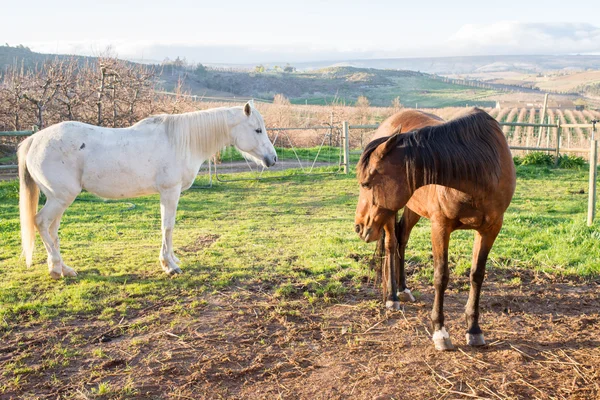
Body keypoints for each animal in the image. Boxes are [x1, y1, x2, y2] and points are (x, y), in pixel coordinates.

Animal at [18, 102, 276, 278]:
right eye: (257, 130)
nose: (272, 159)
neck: (180, 141)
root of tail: (34, 140)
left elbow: (167, 227)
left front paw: (171, 259)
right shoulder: (170, 191)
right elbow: (168, 226)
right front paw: (169, 265)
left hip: (59, 199)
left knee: (52, 229)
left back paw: (64, 268)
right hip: (60, 198)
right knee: (40, 222)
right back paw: (55, 269)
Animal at [356, 108, 516, 350]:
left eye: (366, 184)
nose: (359, 226)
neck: (480, 169)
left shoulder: (491, 228)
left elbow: (477, 274)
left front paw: (474, 329)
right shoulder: (440, 226)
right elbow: (441, 276)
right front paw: (440, 331)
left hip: (412, 208)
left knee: (402, 238)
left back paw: (403, 289)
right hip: (389, 213)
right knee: (392, 244)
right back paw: (393, 297)